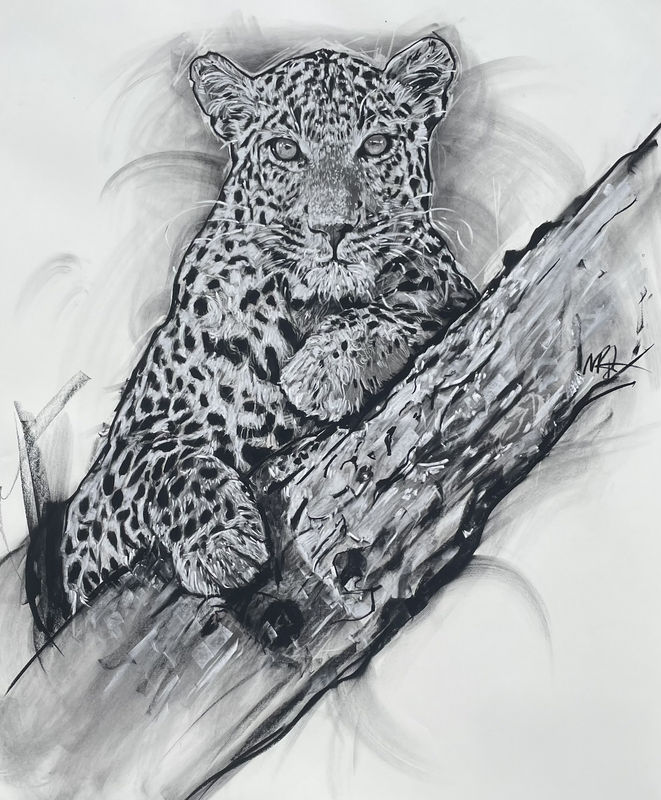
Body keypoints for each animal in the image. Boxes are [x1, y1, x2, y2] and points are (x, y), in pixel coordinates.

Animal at [56, 36, 479, 613]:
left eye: (374, 145)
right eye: (284, 150)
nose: (332, 229)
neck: (307, 305)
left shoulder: (453, 291)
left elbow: (417, 304)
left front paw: (322, 371)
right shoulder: (95, 503)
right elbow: (161, 462)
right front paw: (222, 541)